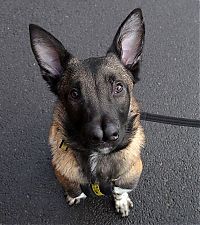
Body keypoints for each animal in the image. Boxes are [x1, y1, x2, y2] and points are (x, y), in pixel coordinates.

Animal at [29, 7, 145, 217]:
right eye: (74, 94)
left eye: (118, 87)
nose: (104, 136)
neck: (97, 160)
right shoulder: (66, 176)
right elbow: (74, 189)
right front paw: (75, 195)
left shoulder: (129, 176)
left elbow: (120, 190)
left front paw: (121, 200)